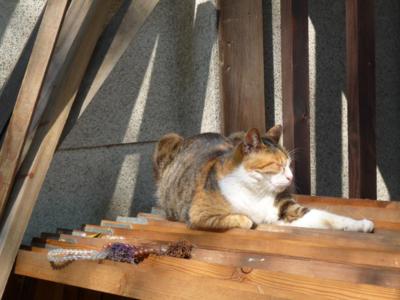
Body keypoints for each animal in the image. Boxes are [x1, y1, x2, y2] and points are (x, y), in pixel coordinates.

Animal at [153, 124, 376, 232]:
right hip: (166, 139)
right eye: (278, 165)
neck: (256, 192)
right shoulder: (199, 214)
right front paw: (249, 220)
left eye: (289, 163)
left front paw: (361, 225)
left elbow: (329, 217)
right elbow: (241, 219)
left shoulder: (287, 210)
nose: (291, 177)